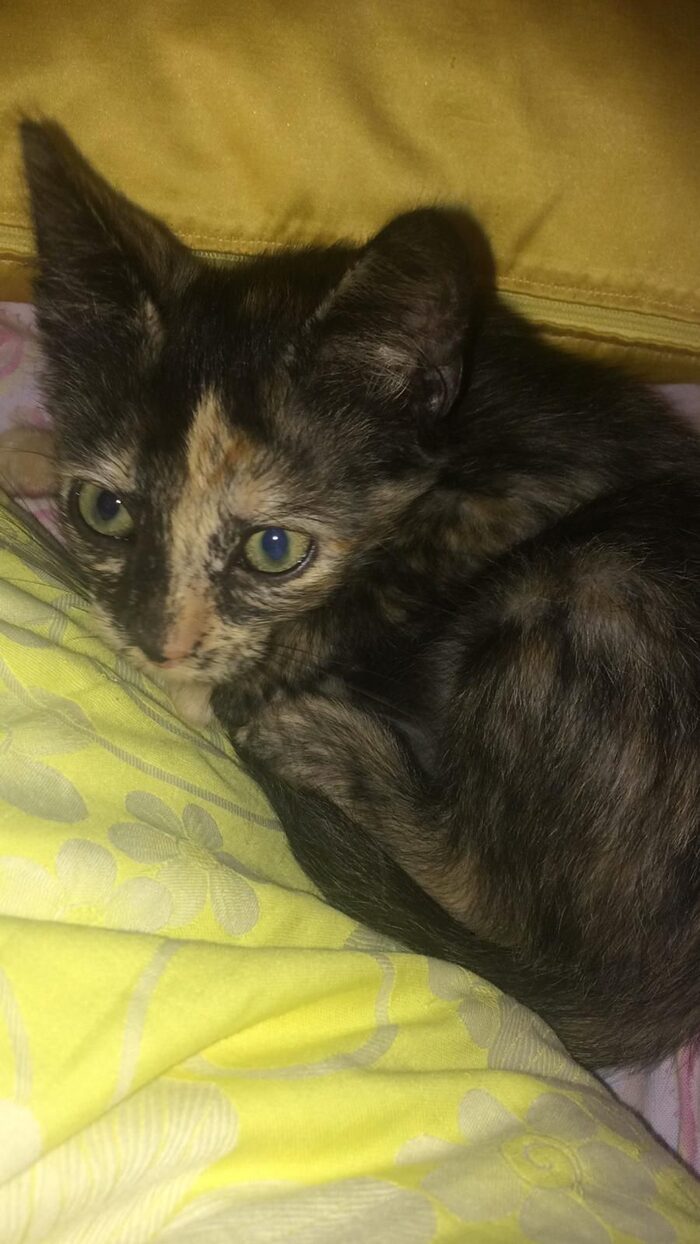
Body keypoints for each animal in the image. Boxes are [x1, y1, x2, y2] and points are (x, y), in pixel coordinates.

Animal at [17, 119, 700, 1070]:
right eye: (103, 510)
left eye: (274, 550)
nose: (160, 641)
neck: (458, 429)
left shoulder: (517, 495)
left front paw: (226, 686)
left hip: (596, 583)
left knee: (493, 894)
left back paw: (319, 742)